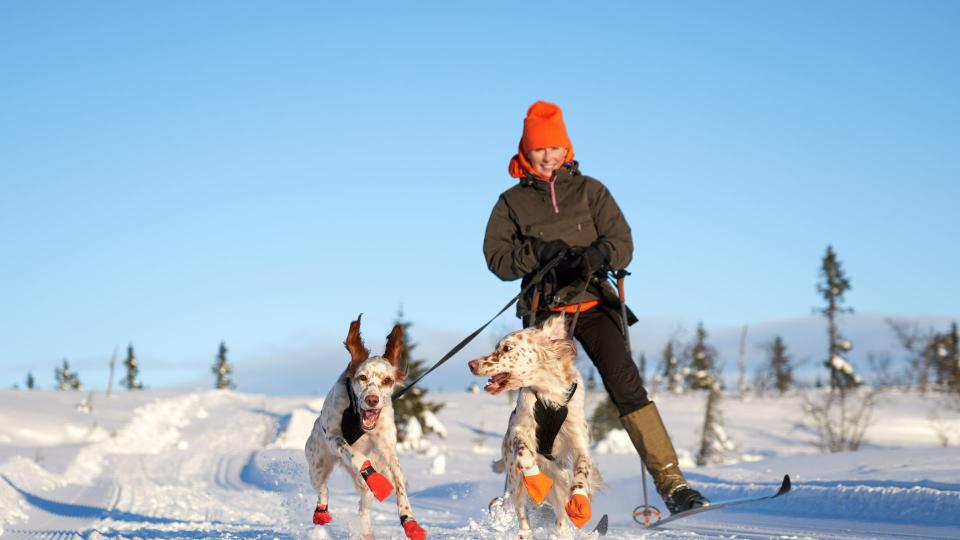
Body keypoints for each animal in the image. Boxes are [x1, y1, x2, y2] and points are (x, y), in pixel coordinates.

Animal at [306, 316, 426, 540]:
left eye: (387, 380)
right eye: (362, 377)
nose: (372, 400)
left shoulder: (388, 450)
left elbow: (400, 484)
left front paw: (409, 521)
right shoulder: (333, 437)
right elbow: (357, 457)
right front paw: (375, 479)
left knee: (363, 507)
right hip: (317, 465)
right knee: (323, 490)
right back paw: (321, 512)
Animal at [466, 314, 596, 536]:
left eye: (506, 348)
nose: (471, 364)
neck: (549, 394)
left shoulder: (579, 442)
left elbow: (582, 470)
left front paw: (579, 500)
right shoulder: (518, 430)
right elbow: (524, 451)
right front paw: (535, 479)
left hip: (558, 475)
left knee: (559, 513)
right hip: (514, 480)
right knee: (522, 512)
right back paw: (525, 532)